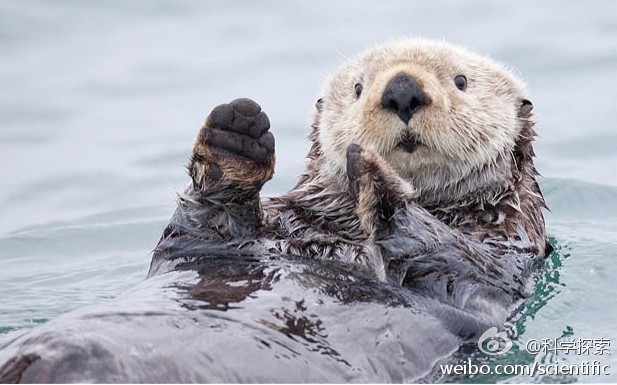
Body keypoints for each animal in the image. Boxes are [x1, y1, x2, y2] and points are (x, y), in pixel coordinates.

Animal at [0, 38, 548, 380]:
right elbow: (206, 224)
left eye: (461, 80)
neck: (337, 227)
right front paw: (236, 134)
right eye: (357, 88)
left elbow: (454, 255)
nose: (402, 89)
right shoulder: (233, 235)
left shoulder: (501, 256)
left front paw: (375, 176)